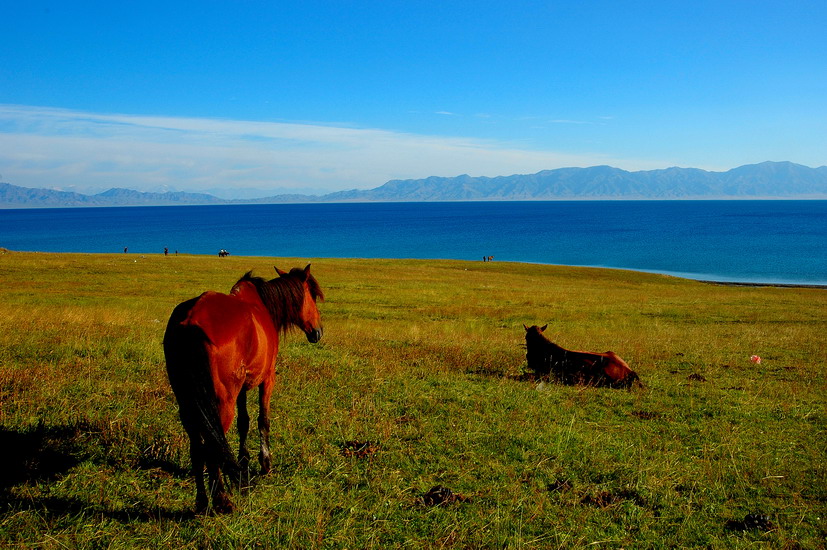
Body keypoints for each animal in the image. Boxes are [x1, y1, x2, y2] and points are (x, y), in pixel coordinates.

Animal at [164, 266, 324, 516]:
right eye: (313, 296)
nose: (318, 332)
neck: (262, 305)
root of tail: (190, 320)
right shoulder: (267, 379)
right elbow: (262, 421)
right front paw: (265, 463)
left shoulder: (242, 387)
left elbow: (244, 423)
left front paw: (243, 461)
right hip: (222, 404)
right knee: (212, 447)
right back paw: (221, 500)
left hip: (188, 403)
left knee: (197, 448)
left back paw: (202, 502)